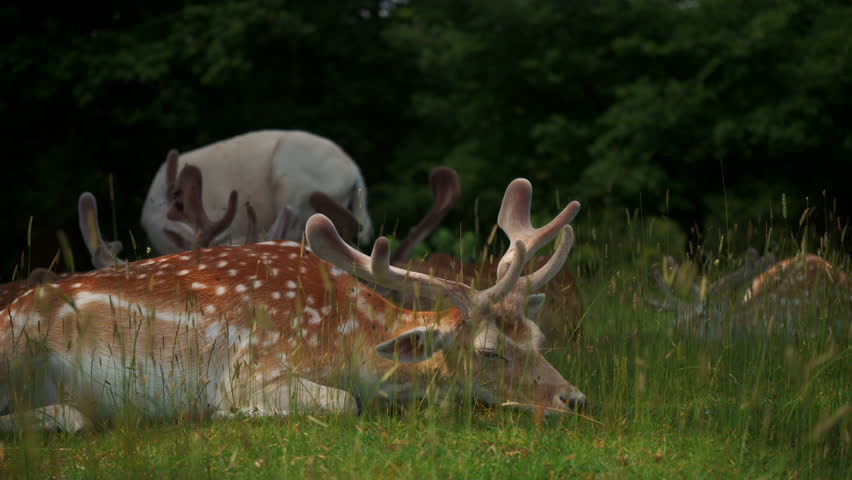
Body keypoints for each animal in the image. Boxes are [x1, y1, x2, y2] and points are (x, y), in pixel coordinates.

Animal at [0, 177, 584, 432]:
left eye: (539, 339)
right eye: (488, 351)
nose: (573, 398)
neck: (351, 341)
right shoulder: (251, 367)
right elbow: (345, 403)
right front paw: (230, 415)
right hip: (14, 348)